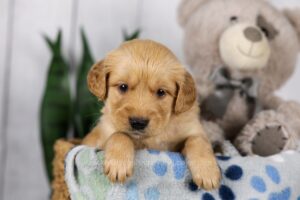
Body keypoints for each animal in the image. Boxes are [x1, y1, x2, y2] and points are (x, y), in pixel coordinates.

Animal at [82, 39, 220, 191]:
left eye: (161, 92)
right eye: (123, 87)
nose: (138, 122)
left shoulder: (192, 130)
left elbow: (197, 140)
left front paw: (207, 172)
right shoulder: (103, 136)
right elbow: (120, 134)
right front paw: (118, 164)